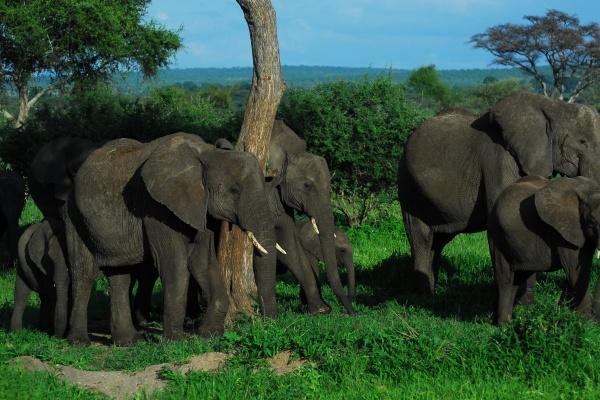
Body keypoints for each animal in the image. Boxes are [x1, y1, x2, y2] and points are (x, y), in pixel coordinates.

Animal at [65, 134, 276, 344]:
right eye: (234, 190)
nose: (268, 323)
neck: (206, 153)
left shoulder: (199, 208)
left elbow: (203, 262)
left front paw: (210, 334)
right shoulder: (155, 208)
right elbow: (175, 265)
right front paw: (176, 340)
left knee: (120, 276)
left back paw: (128, 341)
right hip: (74, 215)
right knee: (83, 274)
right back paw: (80, 342)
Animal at [398, 92, 600, 296]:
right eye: (582, 142)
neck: (553, 106)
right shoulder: (497, 160)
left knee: (439, 241)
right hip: (408, 185)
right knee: (421, 236)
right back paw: (424, 296)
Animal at [488, 177, 600, 324]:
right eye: (592, 222)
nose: (595, 318)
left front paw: (565, 313)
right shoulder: (562, 234)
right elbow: (575, 271)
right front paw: (585, 322)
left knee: (517, 279)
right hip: (497, 237)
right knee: (505, 279)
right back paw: (504, 325)